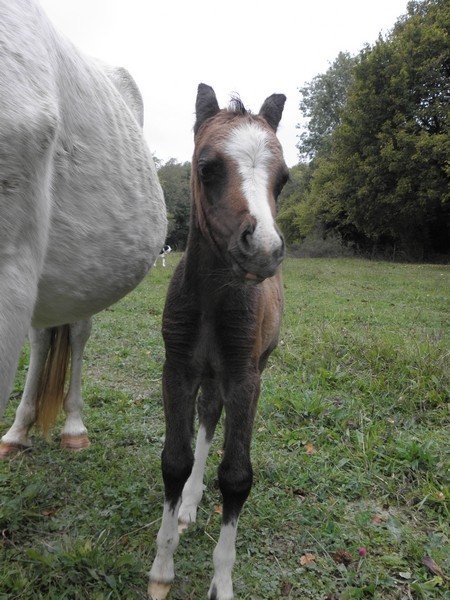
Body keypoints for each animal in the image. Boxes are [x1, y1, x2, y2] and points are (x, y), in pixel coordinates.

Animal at [149, 84, 286, 600]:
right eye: (207, 168)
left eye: (283, 179)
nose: (264, 249)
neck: (211, 302)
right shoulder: (178, 370)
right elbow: (175, 461)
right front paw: (162, 567)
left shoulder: (245, 378)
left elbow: (237, 477)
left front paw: (222, 581)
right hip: (207, 373)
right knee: (208, 414)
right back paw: (189, 502)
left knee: (213, 413)